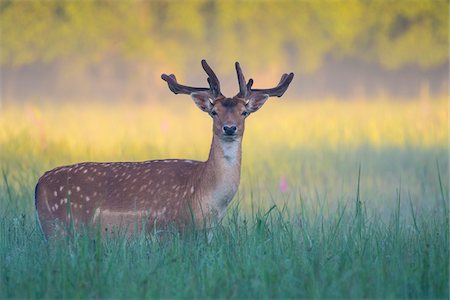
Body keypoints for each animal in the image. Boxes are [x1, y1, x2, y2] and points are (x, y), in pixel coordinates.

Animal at [36, 60, 296, 239]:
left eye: (244, 112)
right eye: (214, 112)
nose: (229, 128)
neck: (206, 198)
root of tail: (38, 185)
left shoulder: (207, 233)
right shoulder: (167, 227)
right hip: (60, 227)